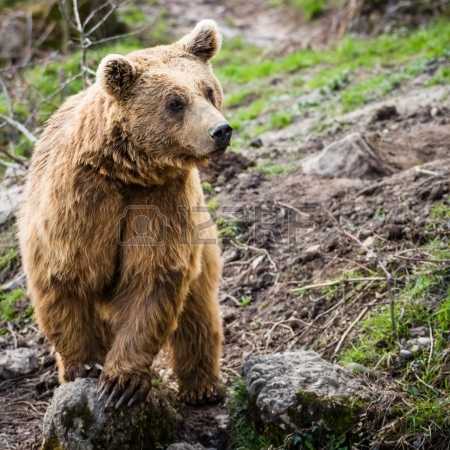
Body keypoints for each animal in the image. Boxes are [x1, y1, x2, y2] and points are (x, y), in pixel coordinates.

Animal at [16, 20, 232, 408]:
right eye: (175, 102)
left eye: (208, 90)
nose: (220, 130)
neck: (126, 170)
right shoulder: (78, 203)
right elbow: (64, 276)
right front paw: (84, 366)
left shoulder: (162, 200)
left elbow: (152, 278)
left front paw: (121, 383)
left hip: (202, 236)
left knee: (198, 310)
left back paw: (202, 388)